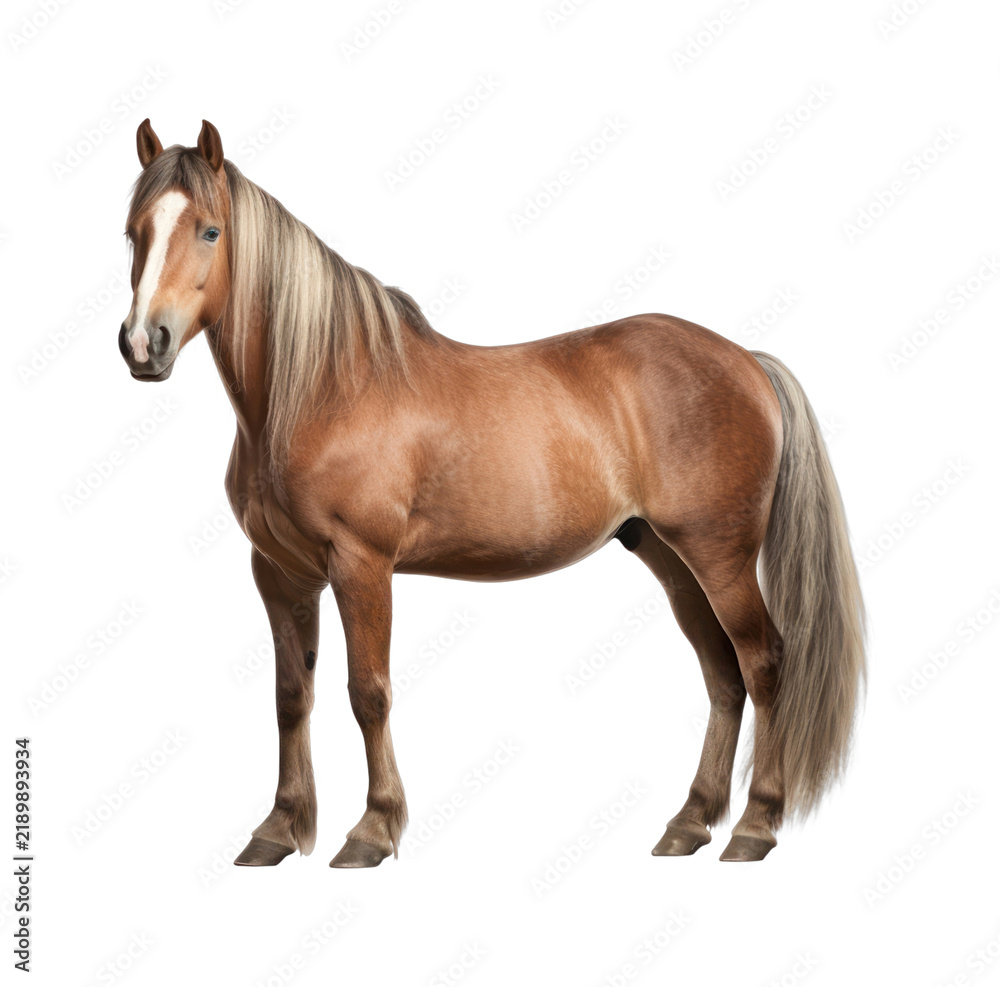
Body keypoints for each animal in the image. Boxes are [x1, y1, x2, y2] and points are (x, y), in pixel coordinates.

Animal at [118, 119, 866, 867]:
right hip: (672, 559)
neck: (322, 387)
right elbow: (289, 696)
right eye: (134, 233)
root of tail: (748, 362)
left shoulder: (361, 565)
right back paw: (690, 821)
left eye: (210, 230)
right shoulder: (279, 571)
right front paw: (277, 828)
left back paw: (754, 825)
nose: (144, 343)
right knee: (723, 675)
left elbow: (368, 693)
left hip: (721, 558)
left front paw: (373, 829)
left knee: (763, 663)